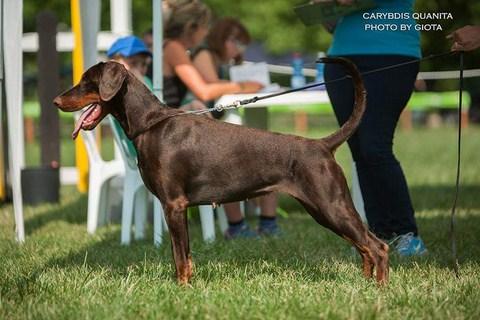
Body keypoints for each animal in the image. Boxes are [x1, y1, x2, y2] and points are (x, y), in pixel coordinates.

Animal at [53, 57, 390, 284]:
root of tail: (322, 145)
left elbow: (180, 257)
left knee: (378, 246)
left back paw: (379, 290)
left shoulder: (174, 205)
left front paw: (182, 290)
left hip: (331, 204)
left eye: (86, 81)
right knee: (364, 247)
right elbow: (184, 256)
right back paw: (364, 285)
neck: (151, 124)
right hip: (323, 210)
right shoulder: (174, 207)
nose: (56, 100)